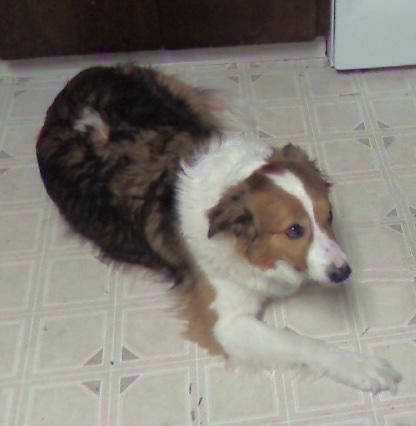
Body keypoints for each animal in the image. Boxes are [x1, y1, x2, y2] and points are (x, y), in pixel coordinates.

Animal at [37, 65, 402, 394]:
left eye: (330, 216)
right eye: (294, 230)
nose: (344, 272)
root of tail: (77, 78)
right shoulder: (226, 324)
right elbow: (299, 342)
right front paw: (362, 367)